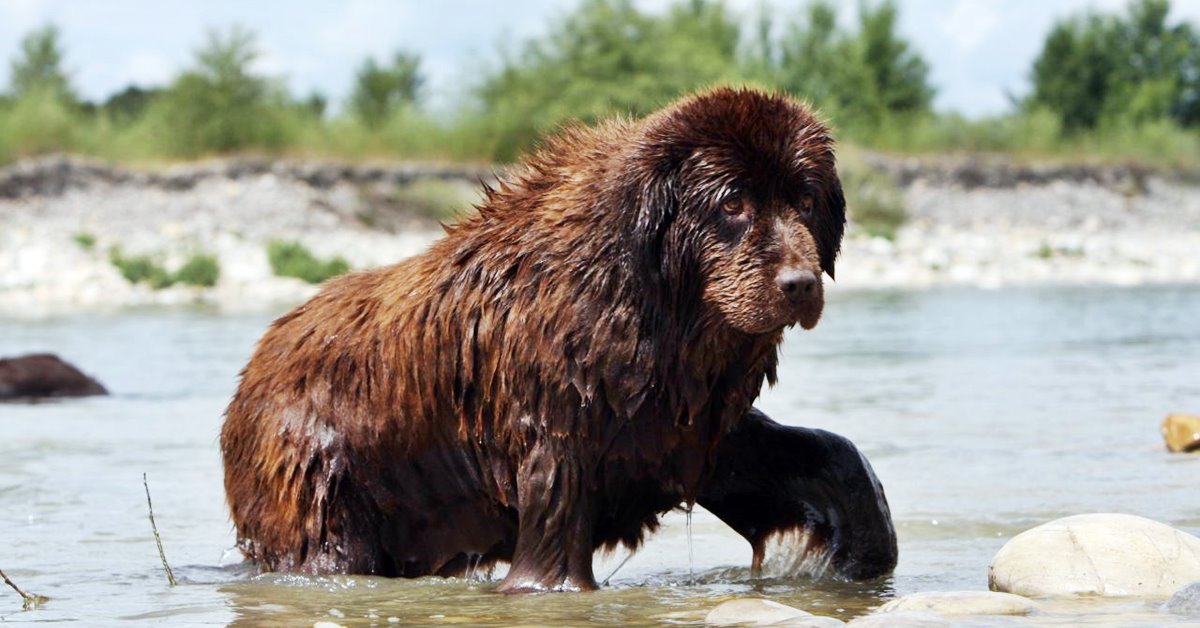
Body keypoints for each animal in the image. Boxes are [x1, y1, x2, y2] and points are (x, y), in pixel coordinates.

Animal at [220, 87, 897, 590]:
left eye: (805, 198)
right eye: (732, 203)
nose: (799, 283)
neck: (651, 306)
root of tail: (254, 364)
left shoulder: (684, 422)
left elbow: (826, 455)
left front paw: (854, 550)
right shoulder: (560, 426)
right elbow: (552, 564)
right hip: (319, 485)